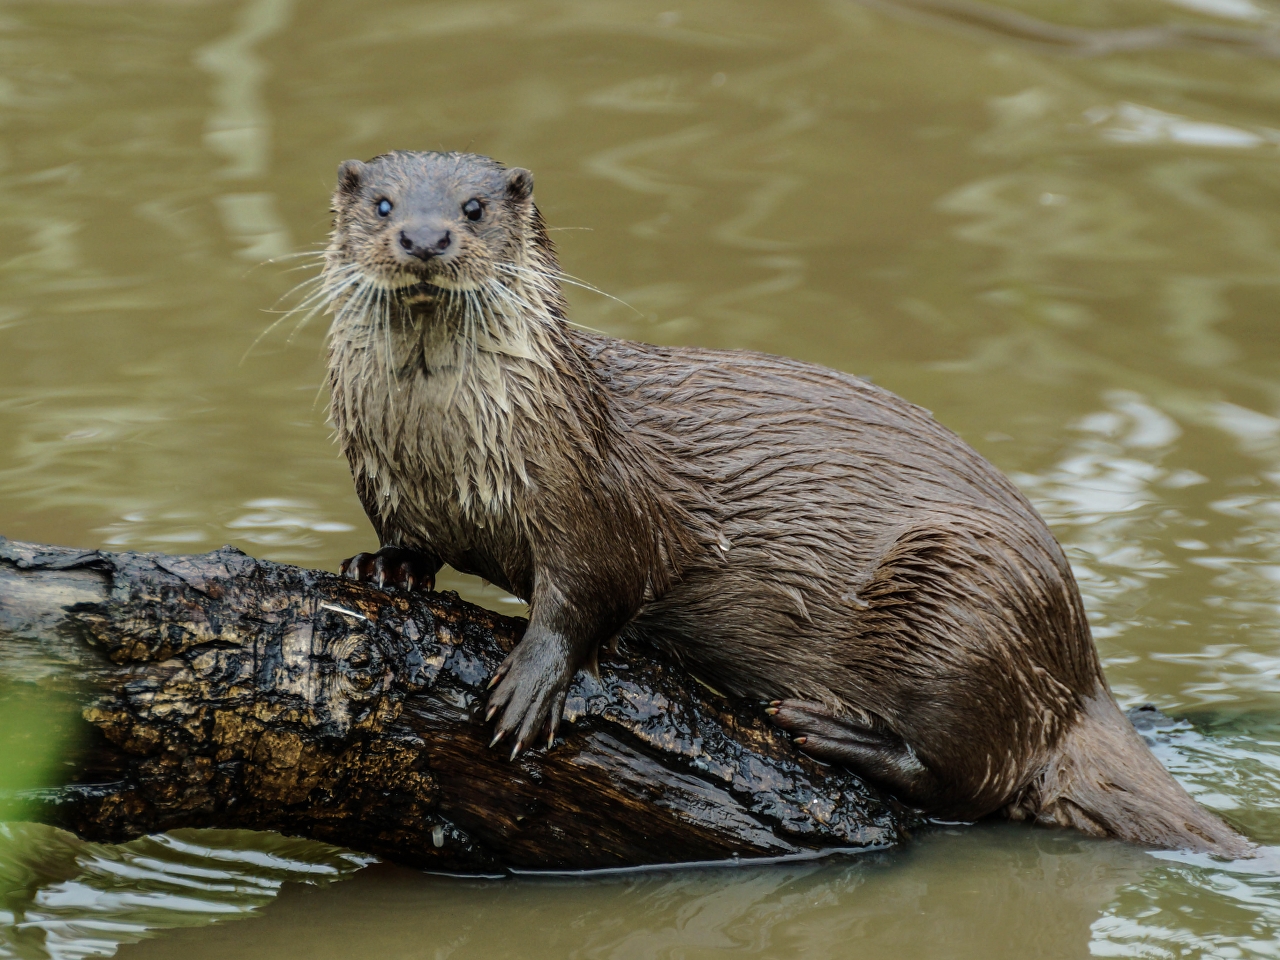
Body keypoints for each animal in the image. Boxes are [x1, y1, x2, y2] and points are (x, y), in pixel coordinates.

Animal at [322, 150, 1249, 855]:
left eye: (473, 208)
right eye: (383, 203)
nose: (425, 236)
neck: (448, 454)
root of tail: (1079, 668)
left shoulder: (591, 495)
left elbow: (590, 593)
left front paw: (530, 684)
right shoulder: (388, 483)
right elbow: (404, 539)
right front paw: (383, 567)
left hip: (969, 601)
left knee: (969, 778)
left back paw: (839, 733)